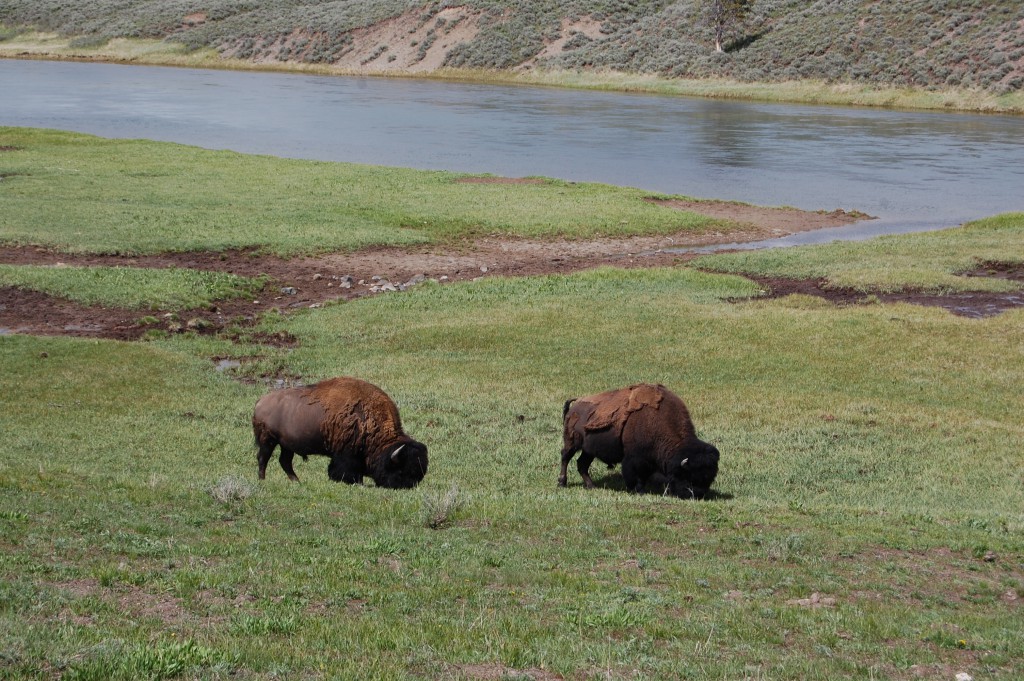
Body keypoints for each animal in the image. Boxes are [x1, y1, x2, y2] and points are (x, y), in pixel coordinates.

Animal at [251, 374, 428, 485]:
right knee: (263, 458)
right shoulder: (345, 454)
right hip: (268, 440)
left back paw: (297, 482)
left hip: (286, 445)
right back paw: (262, 480)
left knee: (285, 462)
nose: (408, 486)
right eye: (400, 471)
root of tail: (260, 402)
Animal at [561, 382, 720, 499]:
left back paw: (591, 486)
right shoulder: (635, 459)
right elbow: (636, 475)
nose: (698, 495)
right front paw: (638, 491)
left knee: (582, 464)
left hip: (588, 450)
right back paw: (562, 483)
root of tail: (576, 404)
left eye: (710, 478)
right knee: (565, 457)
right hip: (572, 442)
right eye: (688, 476)